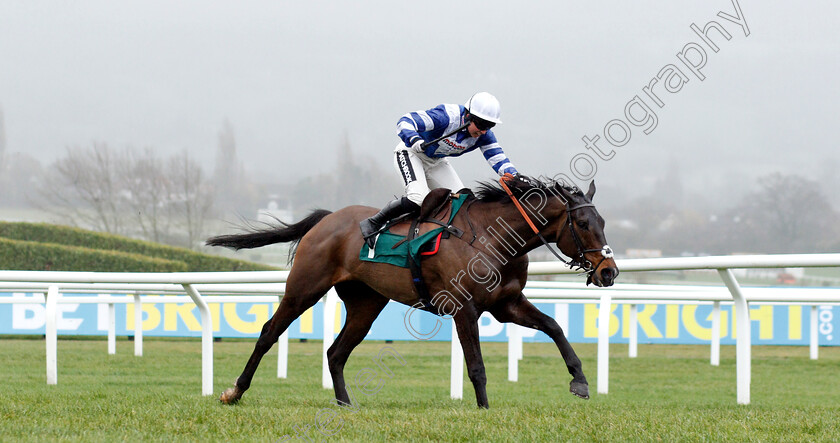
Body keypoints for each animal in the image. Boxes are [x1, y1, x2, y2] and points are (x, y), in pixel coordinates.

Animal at [208, 176, 620, 410]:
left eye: (603, 221)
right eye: (584, 223)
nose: (609, 271)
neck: (493, 238)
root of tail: (326, 219)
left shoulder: (507, 304)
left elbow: (554, 327)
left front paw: (580, 381)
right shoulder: (464, 308)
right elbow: (476, 366)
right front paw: (484, 411)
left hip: (366, 303)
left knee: (336, 352)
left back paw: (345, 405)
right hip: (304, 288)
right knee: (269, 333)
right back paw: (234, 392)